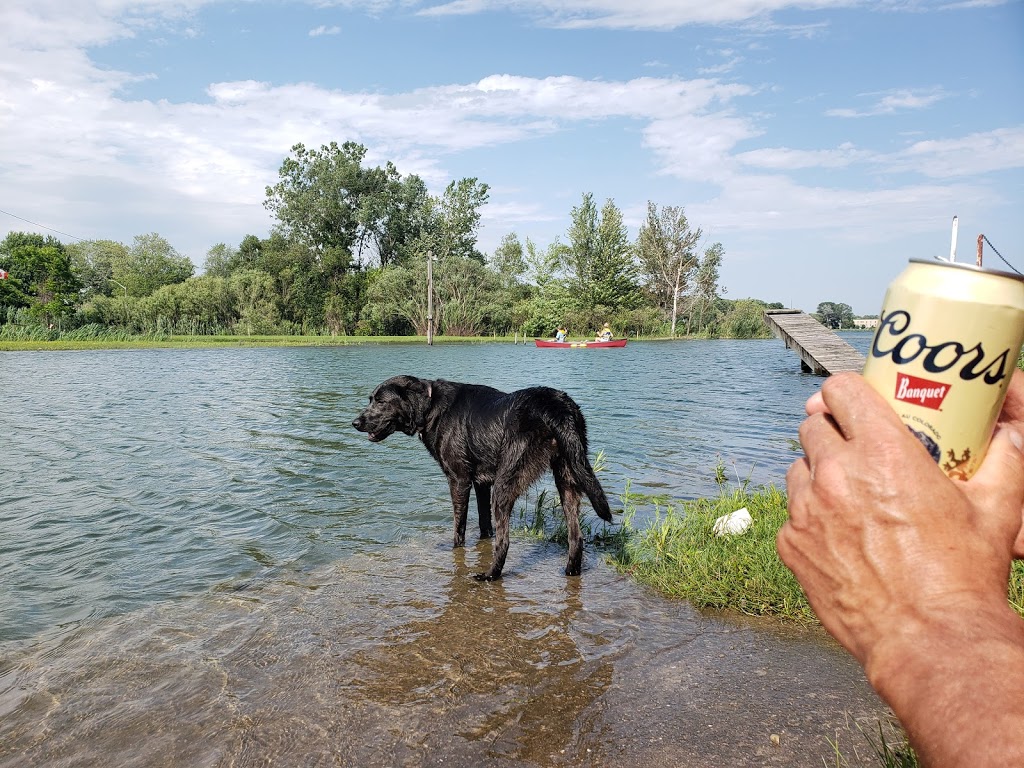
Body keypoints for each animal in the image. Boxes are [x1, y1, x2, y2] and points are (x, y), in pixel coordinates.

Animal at [354, 376, 606, 581]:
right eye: (370, 399)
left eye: (380, 401)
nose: (355, 423)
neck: (431, 407)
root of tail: (557, 407)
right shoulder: (481, 483)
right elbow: (485, 524)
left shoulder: (459, 480)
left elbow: (459, 527)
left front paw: (456, 550)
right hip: (568, 478)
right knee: (576, 536)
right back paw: (570, 572)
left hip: (506, 483)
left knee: (504, 541)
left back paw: (490, 575)